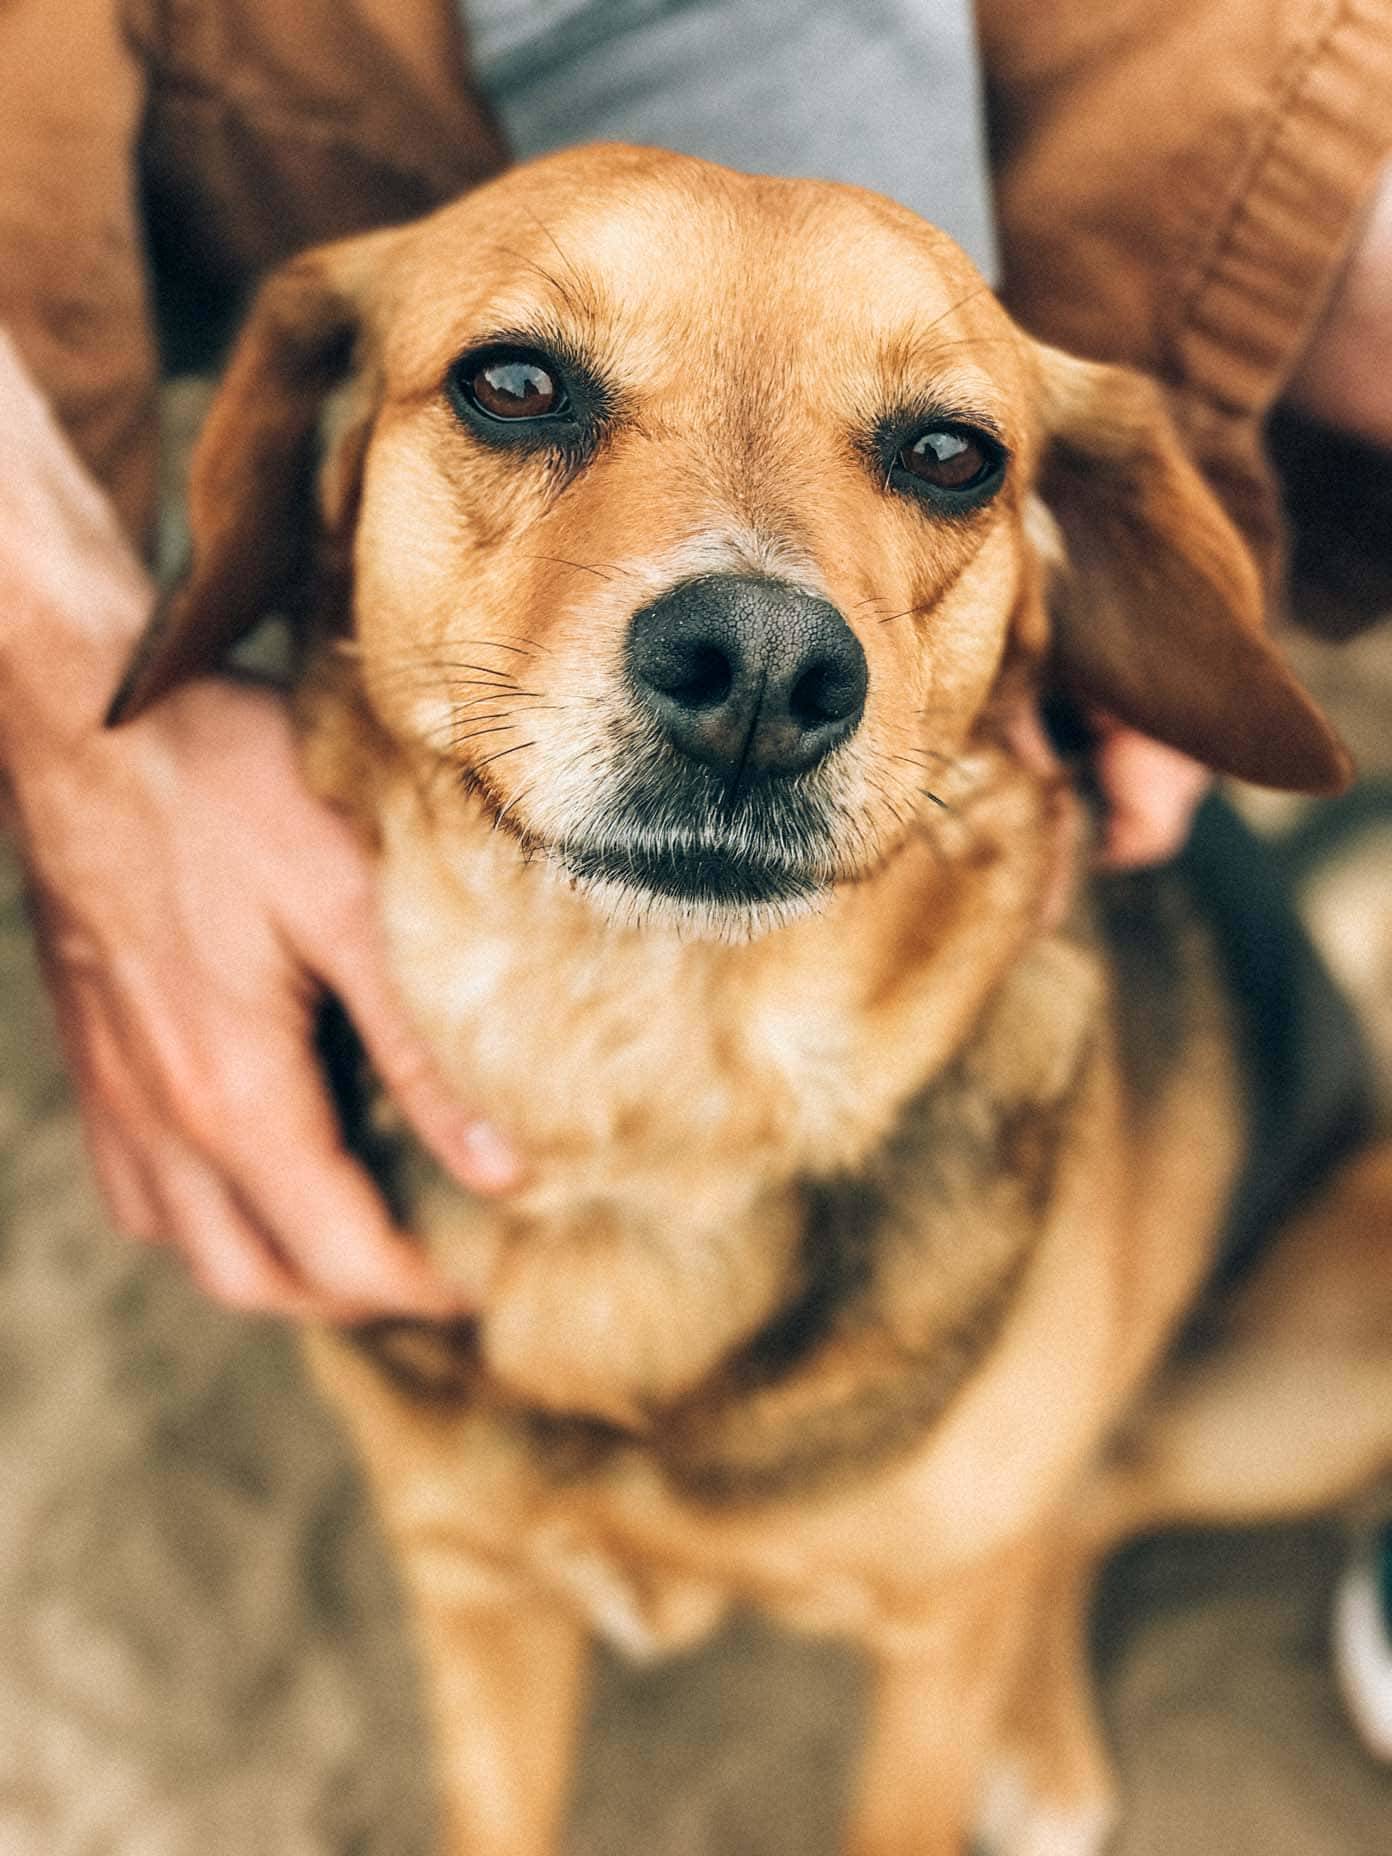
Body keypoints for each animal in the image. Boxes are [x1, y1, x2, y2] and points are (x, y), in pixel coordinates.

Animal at [111, 148, 1392, 1856]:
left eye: (953, 456)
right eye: (512, 383)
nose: (768, 670)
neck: (648, 1115)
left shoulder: (923, 1655)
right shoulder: (476, 1594)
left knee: (1079, 1504)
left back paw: (1041, 1740)